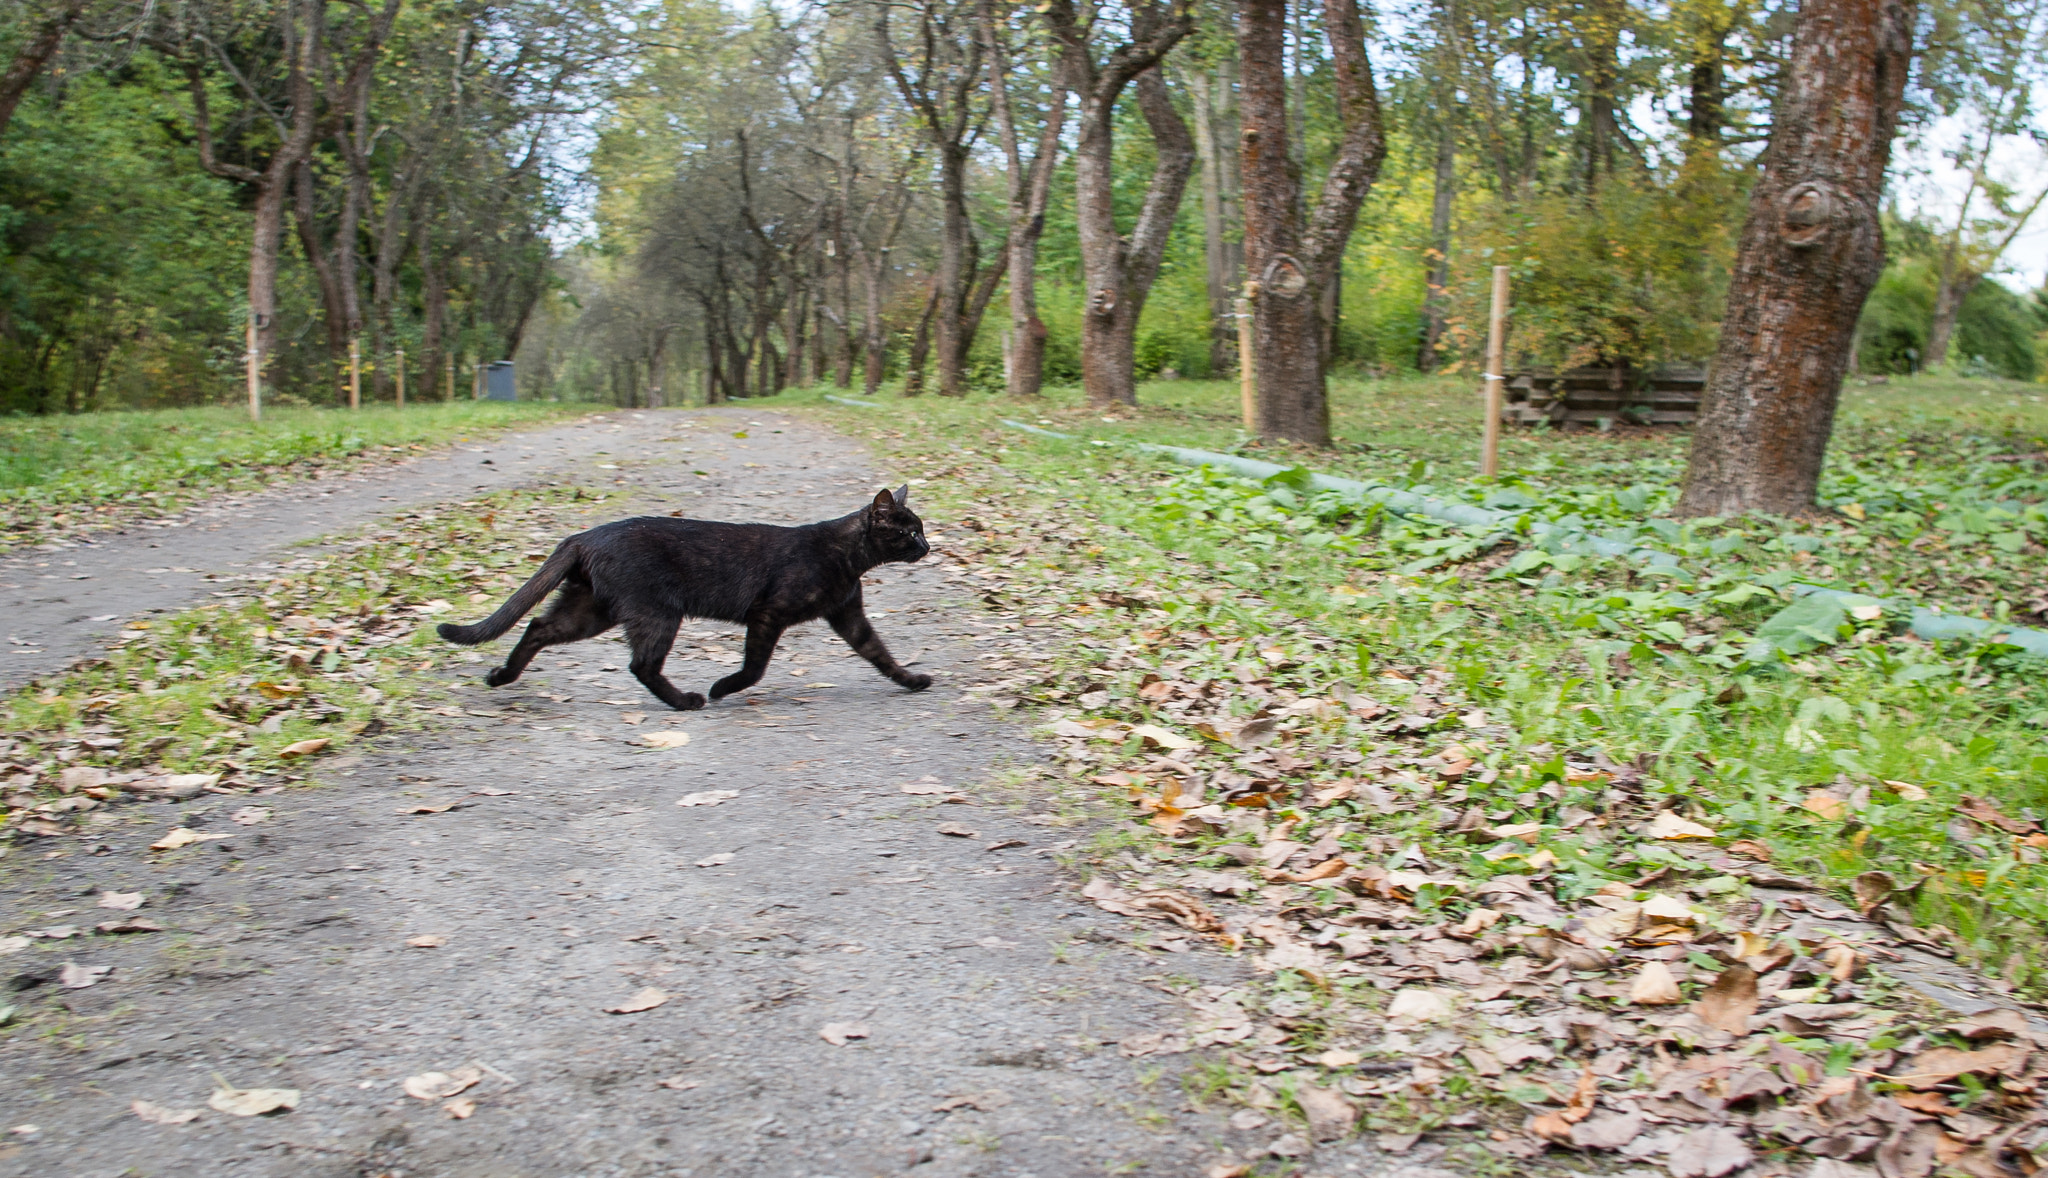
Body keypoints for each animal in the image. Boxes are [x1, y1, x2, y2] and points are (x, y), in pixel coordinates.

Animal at [444, 487, 937, 708]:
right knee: (641, 665)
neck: (846, 557)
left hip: (591, 610)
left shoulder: (848, 616)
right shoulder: (768, 613)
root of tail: (584, 535)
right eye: (909, 532)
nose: (929, 546)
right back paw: (687, 700)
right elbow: (755, 667)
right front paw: (723, 688)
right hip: (656, 613)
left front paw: (912, 680)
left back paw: (501, 677)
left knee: (538, 626)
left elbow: (879, 654)